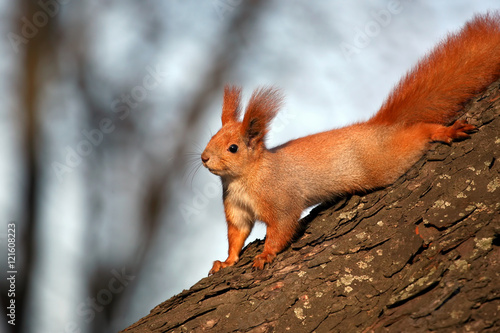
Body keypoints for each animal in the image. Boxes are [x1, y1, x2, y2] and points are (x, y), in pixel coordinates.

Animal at [199, 12, 500, 274]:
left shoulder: (280, 197)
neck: (244, 178)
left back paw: (442, 131)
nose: (204, 158)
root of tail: (381, 127)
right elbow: (237, 235)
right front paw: (226, 262)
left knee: (417, 133)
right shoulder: (236, 208)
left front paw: (265, 255)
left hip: (387, 161)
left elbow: (281, 227)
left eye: (233, 148)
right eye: (211, 137)